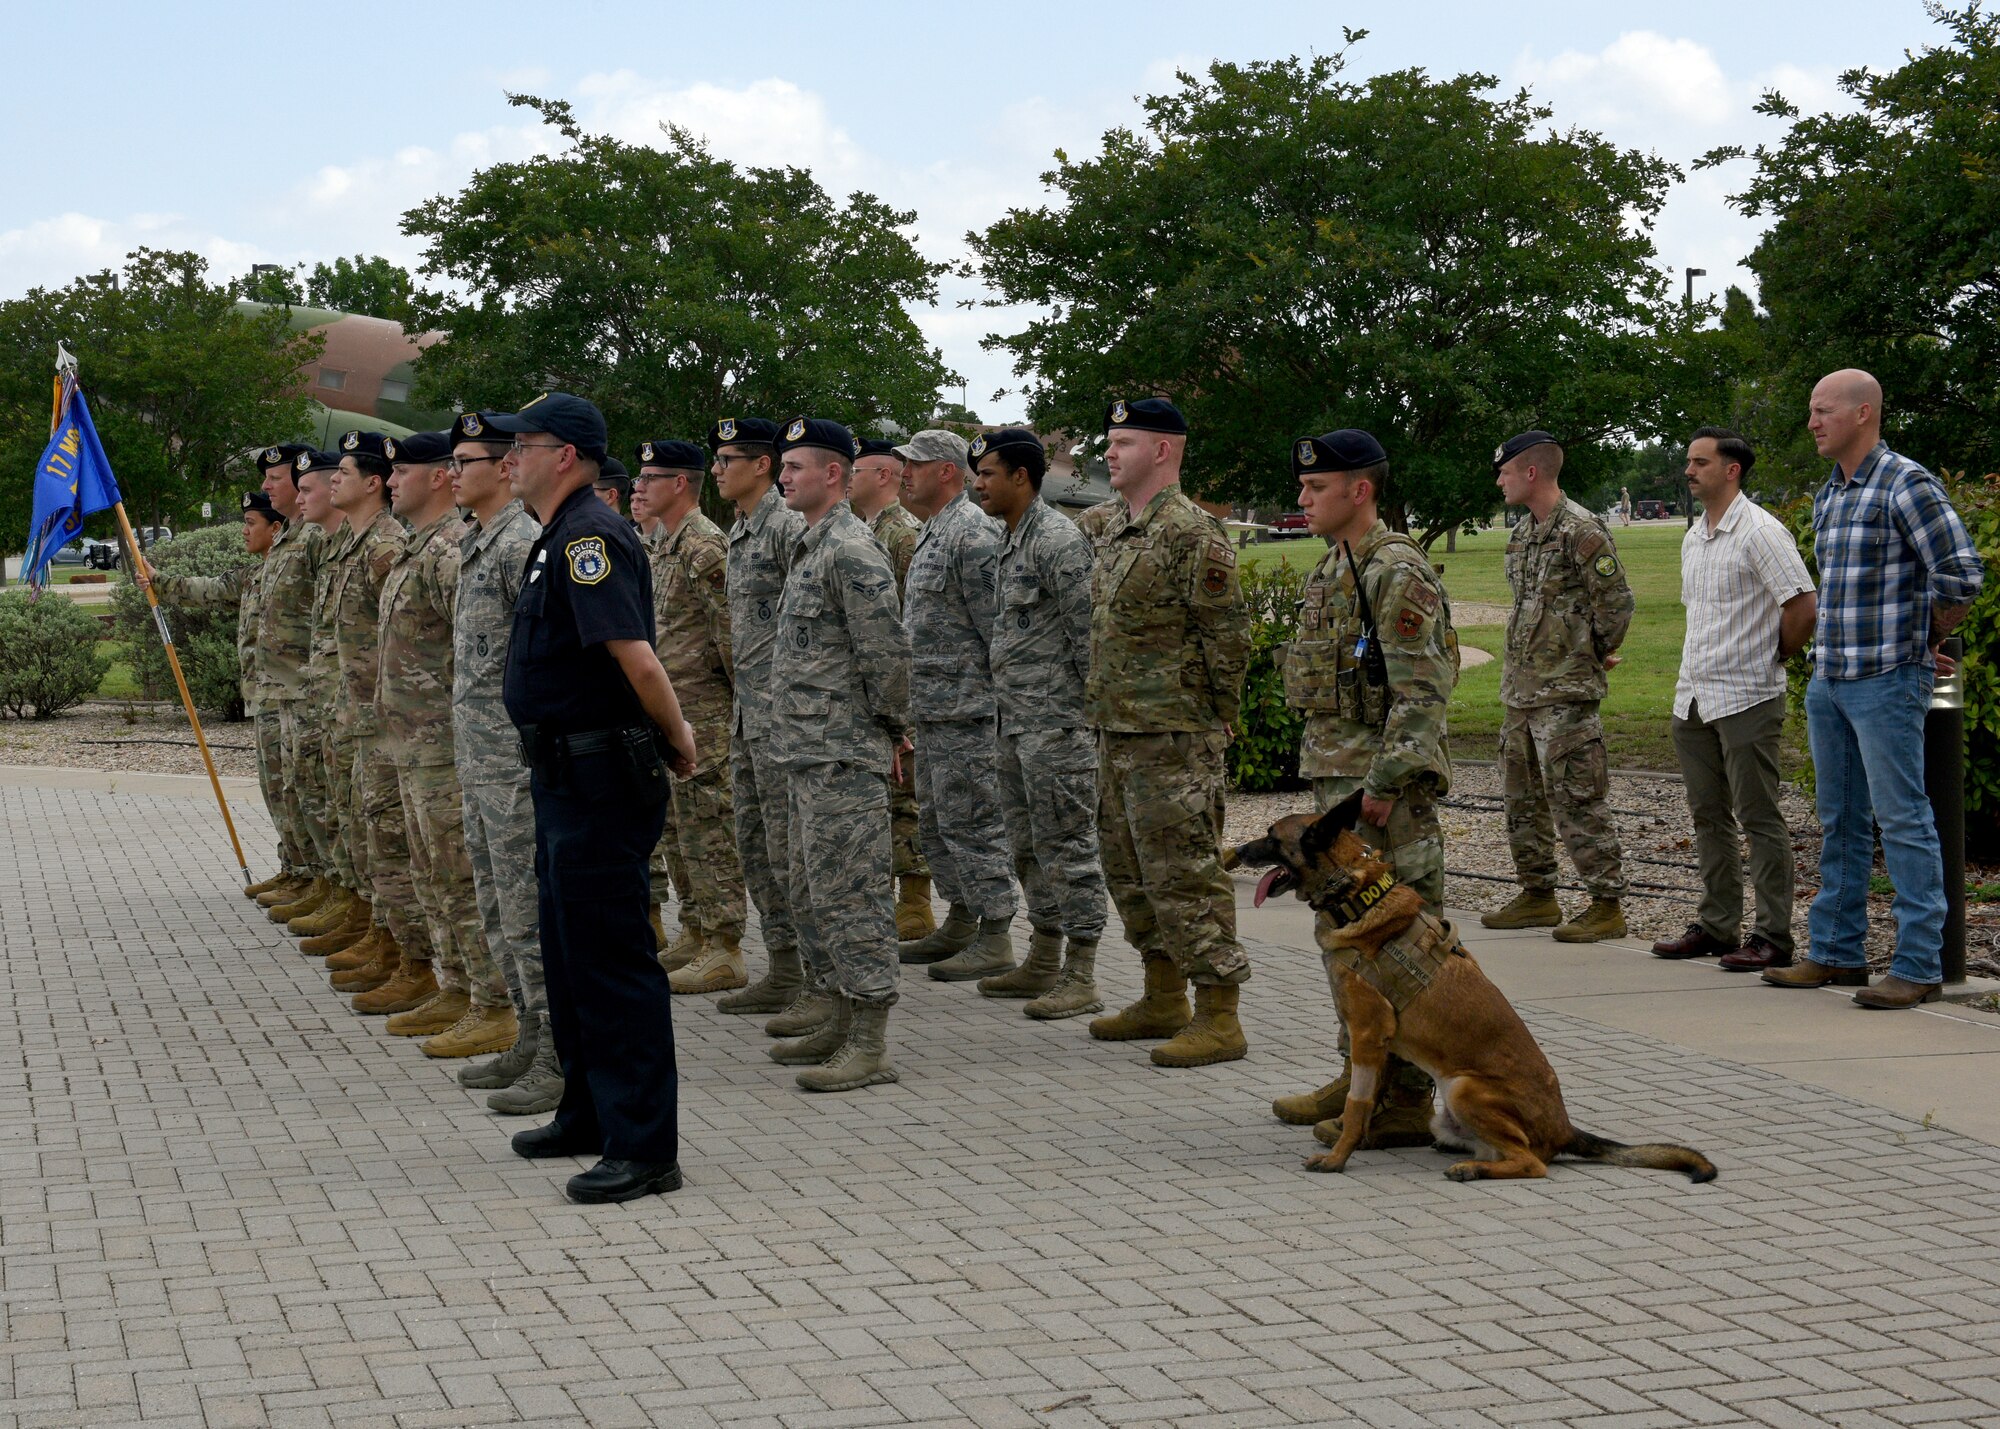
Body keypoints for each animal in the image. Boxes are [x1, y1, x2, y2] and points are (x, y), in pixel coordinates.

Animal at [1224, 788, 1712, 1176]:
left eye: (1271, 837)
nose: (1236, 851)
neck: (1357, 897)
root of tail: (1563, 1129)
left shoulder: (1366, 1034)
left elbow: (1357, 1102)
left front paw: (1339, 1156)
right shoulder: (1379, 1045)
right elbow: (1366, 1098)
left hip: (1463, 1087)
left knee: (1532, 1163)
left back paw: (1473, 1169)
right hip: (1449, 1111)